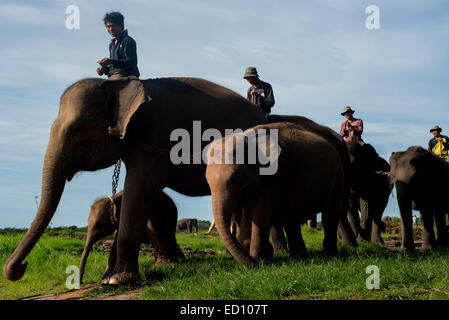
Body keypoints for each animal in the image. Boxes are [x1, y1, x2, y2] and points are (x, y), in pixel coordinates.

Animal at [3, 77, 266, 284]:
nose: (20, 268)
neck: (119, 85)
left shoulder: (154, 135)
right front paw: (110, 277)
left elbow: (140, 187)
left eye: (77, 130)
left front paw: (116, 280)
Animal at [205, 121, 344, 266]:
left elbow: (260, 213)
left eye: (236, 179)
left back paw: (330, 256)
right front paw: (258, 257)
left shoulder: (277, 172)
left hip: (338, 173)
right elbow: (246, 213)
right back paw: (299, 258)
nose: (251, 264)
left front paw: (259, 260)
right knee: (289, 217)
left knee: (330, 212)